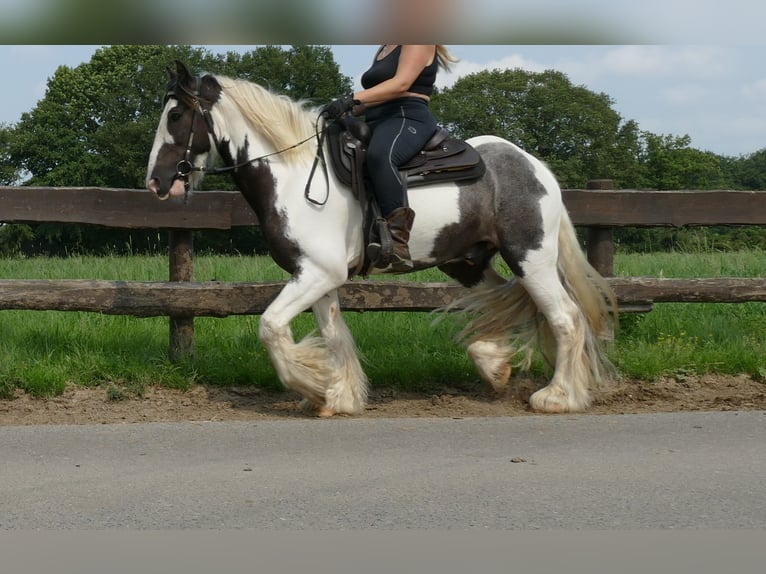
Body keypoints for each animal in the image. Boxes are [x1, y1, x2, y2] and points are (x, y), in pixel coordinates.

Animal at [147, 60, 620, 416]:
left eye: (175, 115)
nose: (155, 182)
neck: (294, 175)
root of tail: (535, 167)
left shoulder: (317, 274)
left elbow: (270, 327)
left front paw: (314, 386)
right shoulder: (318, 277)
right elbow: (334, 336)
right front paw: (338, 396)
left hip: (530, 258)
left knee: (566, 318)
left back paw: (559, 396)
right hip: (468, 262)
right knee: (507, 300)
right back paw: (495, 365)